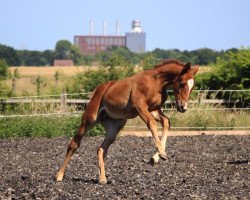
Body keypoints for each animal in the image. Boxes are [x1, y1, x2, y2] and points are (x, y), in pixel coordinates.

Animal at [55, 58, 198, 184]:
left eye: (192, 87)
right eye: (182, 83)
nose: (183, 107)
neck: (156, 82)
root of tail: (99, 90)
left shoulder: (154, 109)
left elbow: (166, 122)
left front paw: (155, 158)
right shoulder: (141, 107)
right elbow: (152, 124)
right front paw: (161, 153)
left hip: (114, 128)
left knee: (101, 149)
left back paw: (102, 179)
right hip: (89, 119)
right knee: (74, 144)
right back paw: (59, 175)